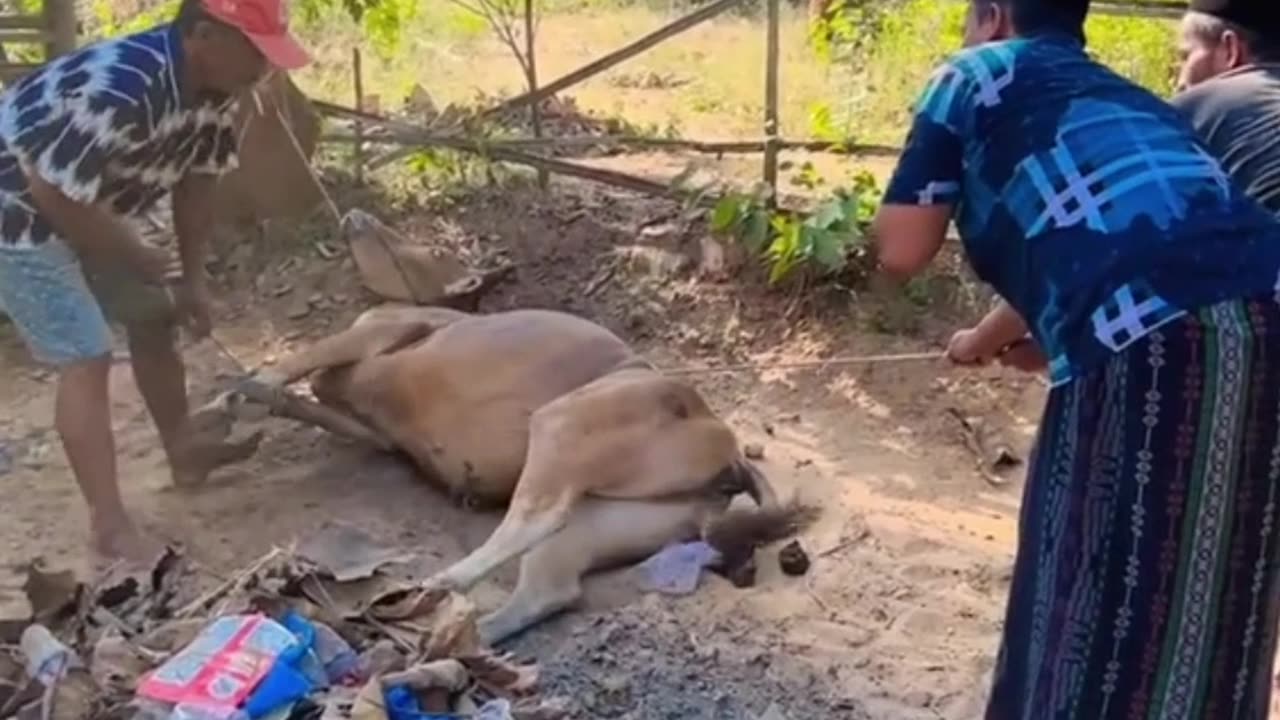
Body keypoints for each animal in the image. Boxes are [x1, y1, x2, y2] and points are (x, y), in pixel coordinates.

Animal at [238, 299, 798, 640]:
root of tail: (729, 453)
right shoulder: (376, 430)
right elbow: (306, 401)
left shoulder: (382, 332)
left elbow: (294, 364)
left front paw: (244, 389)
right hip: (595, 520)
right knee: (547, 588)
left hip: (563, 424)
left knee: (534, 518)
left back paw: (445, 582)